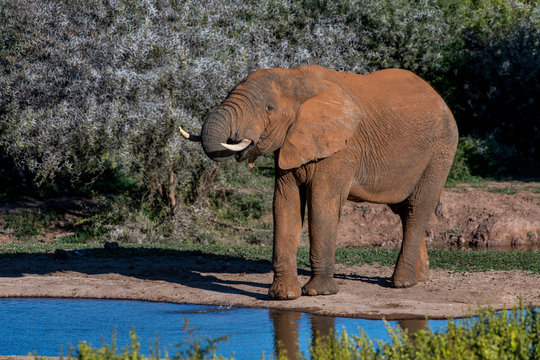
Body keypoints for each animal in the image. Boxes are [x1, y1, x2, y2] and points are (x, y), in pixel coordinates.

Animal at [180, 65, 456, 300]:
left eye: (269, 109)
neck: (295, 78)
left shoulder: (341, 147)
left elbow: (321, 204)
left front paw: (318, 293)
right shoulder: (290, 143)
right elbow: (284, 205)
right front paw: (284, 296)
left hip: (440, 151)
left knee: (417, 207)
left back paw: (402, 283)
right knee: (403, 209)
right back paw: (420, 278)